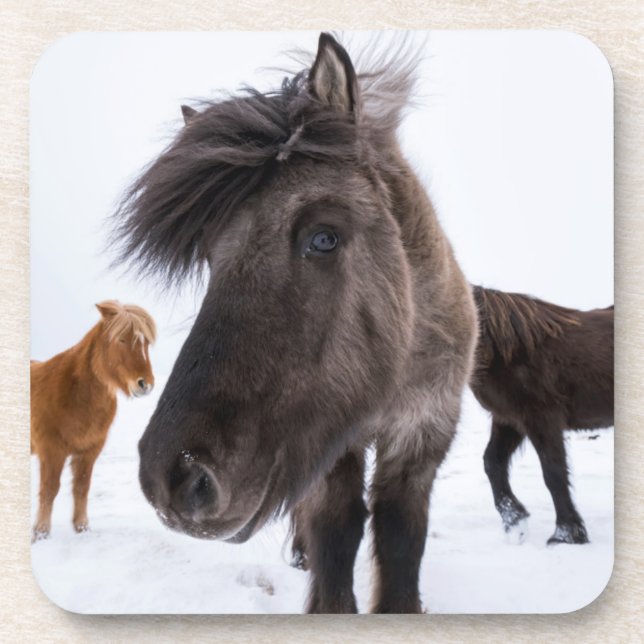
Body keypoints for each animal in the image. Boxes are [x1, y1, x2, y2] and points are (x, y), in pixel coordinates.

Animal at [31, 300, 156, 541]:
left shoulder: (89, 451)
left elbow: (81, 487)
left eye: (145, 343)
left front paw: (81, 528)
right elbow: (49, 490)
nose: (144, 384)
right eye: (122, 339)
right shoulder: (51, 451)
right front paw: (41, 533)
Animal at [112, 33, 477, 613]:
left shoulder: (421, 435)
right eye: (211, 256)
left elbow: (400, 534)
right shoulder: (330, 443)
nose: (173, 477)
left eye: (324, 237)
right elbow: (335, 530)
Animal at [471, 285, 614, 545]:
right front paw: (515, 521)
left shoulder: (541, 418)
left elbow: (553, 472)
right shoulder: (509, 419)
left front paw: (566, 534)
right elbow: (493, 462)